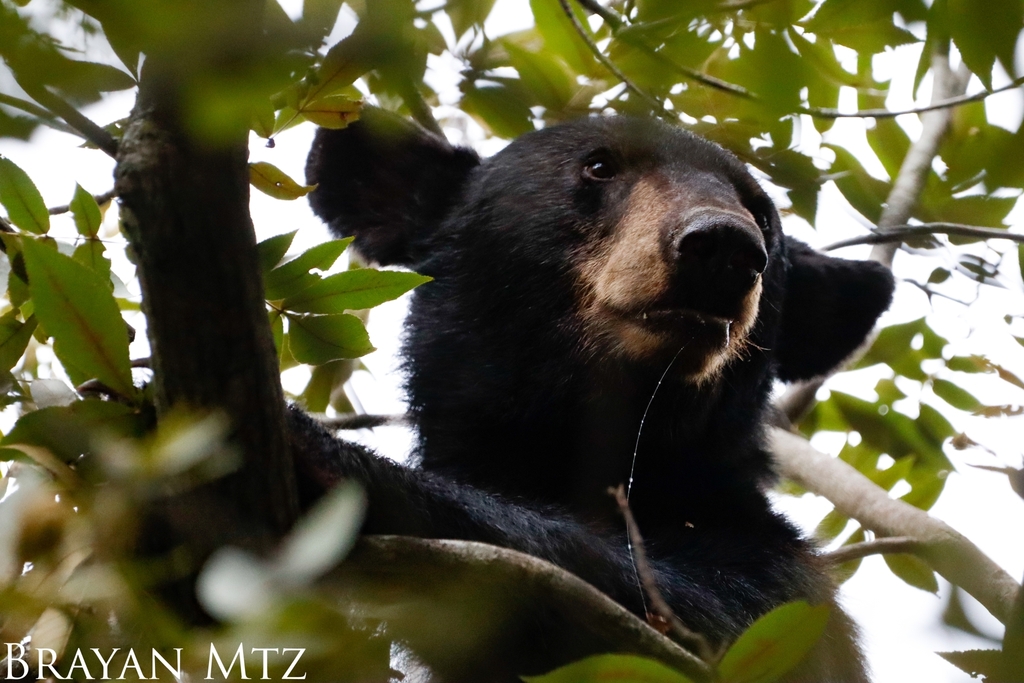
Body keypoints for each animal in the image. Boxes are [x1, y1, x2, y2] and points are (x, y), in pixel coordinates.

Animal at [288, 109, 895, 682]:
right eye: (599, 165)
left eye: (762, 213)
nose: (725, 245)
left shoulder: (781, 578)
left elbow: (716, 613)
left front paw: (341, 465)